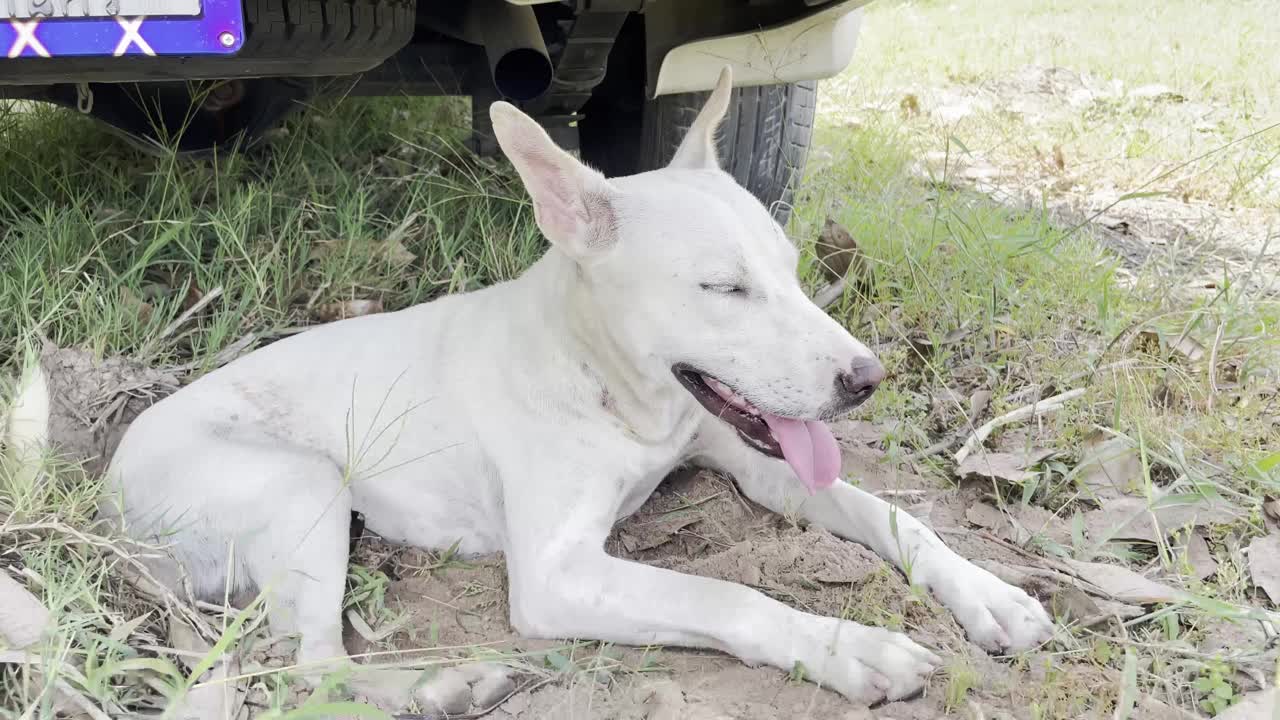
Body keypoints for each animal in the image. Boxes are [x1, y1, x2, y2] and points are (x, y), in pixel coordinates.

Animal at [102, 70, 1049, 707]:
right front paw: (851, 648)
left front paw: (991, 596)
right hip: (304, 487)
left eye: (790, 268)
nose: (866, 380)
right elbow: (723, 592)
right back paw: (441, 686)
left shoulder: (759, 460)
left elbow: (896, 516)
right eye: (723, 288)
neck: (612, 388)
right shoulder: (559, 575)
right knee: (312, 668)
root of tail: (106, 499)